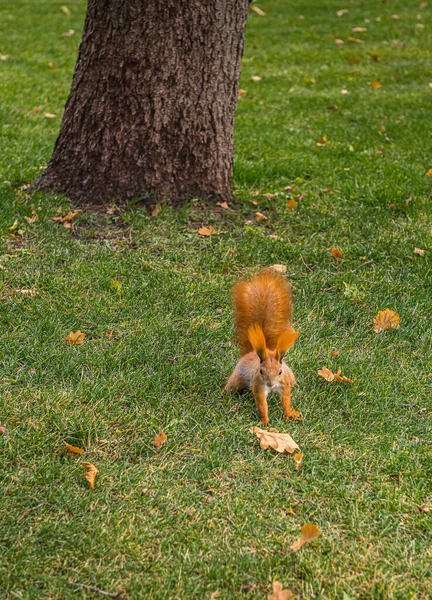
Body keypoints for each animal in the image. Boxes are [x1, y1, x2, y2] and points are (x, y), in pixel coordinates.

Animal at [226, 270, 300, 424]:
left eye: (280, 371)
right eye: (261, 371)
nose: (270, 384)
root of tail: (250, 353)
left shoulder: (284, 383)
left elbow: (286, 400)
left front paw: (289, 414)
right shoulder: (258, 385)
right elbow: (262, 404)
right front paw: (265, 421)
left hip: (290, 376)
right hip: (237, 378)